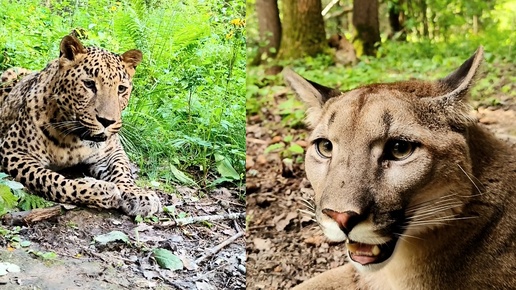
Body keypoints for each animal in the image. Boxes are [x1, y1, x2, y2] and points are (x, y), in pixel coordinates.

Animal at [0, 34, 161, 216]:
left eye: (121, 89)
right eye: (89, 84)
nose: (107, 121)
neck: (74, 138)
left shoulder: (112, 151)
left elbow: (122, 170)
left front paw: (138, 194)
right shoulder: (13, 151)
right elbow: (53, 180)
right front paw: (102, 191)